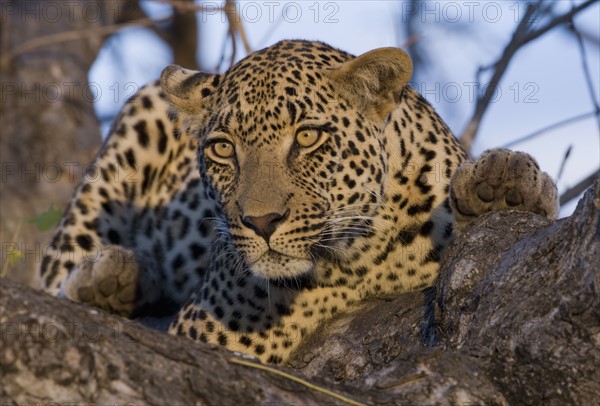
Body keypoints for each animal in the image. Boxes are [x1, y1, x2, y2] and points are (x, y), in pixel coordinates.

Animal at [41, 40, 556, 364]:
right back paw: (108, 278)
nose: (262, 222)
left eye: (307, 137)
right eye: (223, 148)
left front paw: (503, 181)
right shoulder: (205, 323)